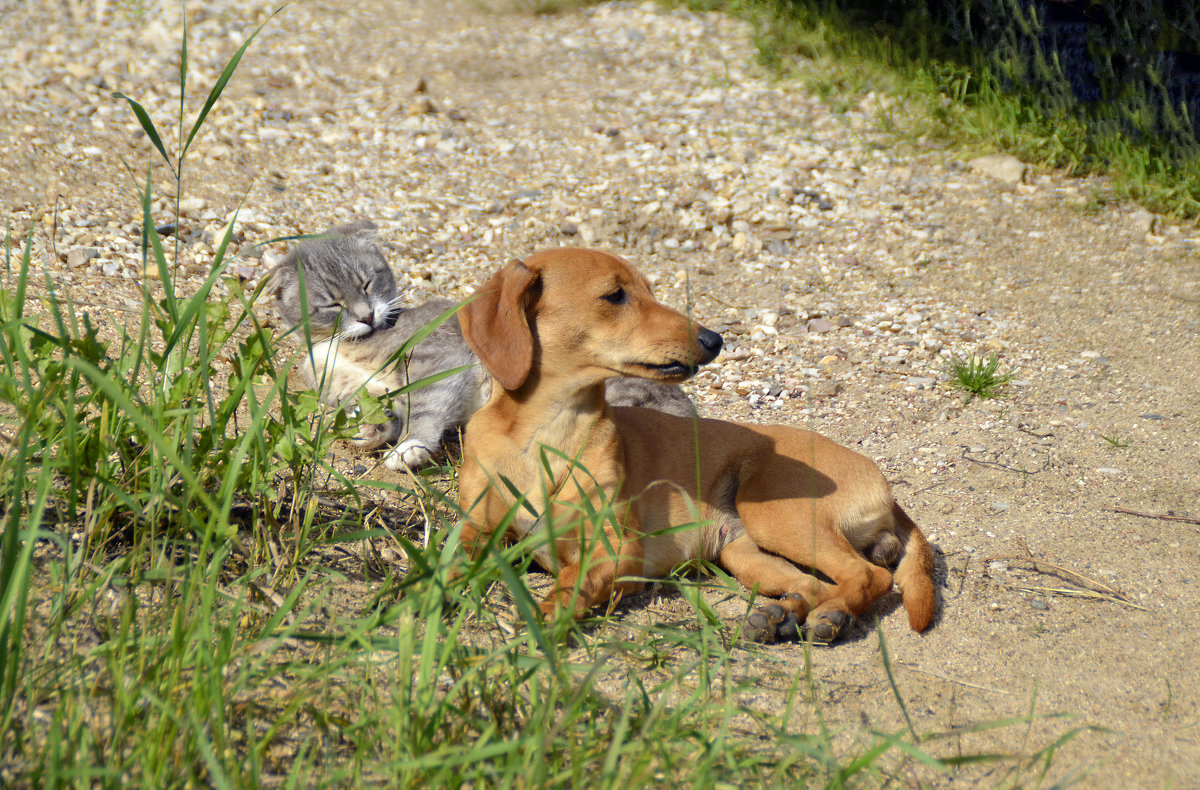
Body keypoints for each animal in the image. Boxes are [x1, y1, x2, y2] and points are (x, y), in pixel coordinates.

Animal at [267, 220, 691, 468]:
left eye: (368, 283)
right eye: (332, 304)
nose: (367, 315)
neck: (334, 345)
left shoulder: (437, 359)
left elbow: (426, 405)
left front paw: (411, 445)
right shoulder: (342, 381)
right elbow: (368, 405)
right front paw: (369, 428)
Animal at [453, 246, 931, 638]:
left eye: (649, 291)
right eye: (615, 295)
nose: (714, 340)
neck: (548, 435)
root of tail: (879, 480)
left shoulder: (617, 548)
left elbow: (574, 580)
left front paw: (548, 612)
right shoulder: (477, 528)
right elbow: (455, 557)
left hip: (774, 513)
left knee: (870, 576)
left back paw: (832, 616)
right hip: (746, 554)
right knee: (811, 584)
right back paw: (781, 615)